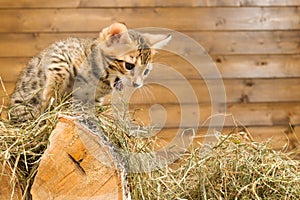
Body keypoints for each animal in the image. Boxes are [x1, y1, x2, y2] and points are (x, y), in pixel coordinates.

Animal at [8, 22, 171, 121]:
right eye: (129, 66)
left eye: (146, 71)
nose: (138, 84)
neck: (100, 79)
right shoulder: (59, 53)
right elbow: (57, 79)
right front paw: (50, 102)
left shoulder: (94, 98)